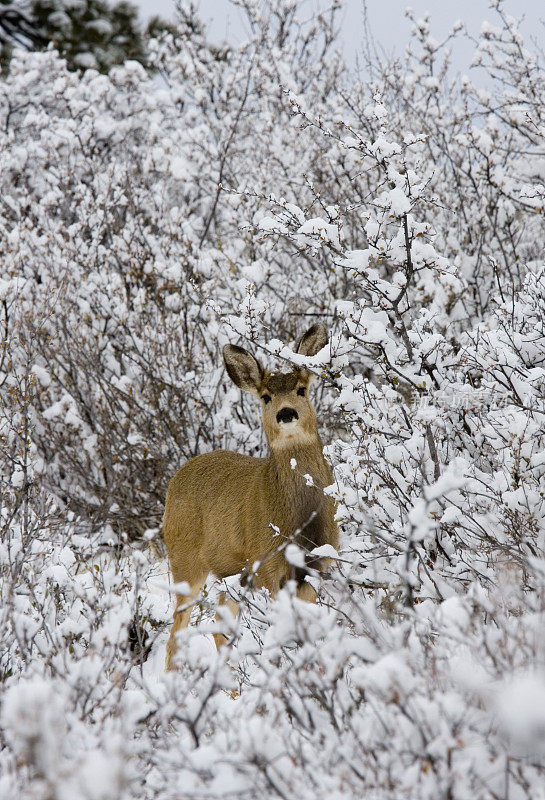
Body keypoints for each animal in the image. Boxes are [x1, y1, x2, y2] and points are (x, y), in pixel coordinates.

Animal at [164, 324, 338, 668]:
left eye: (301, 389)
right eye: (266, 396)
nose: (286, 413)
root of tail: (174, 481)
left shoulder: (319, 564)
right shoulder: (269, 564)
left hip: (231, 574)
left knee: (219, 629)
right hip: (185, 560)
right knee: (176, 633)